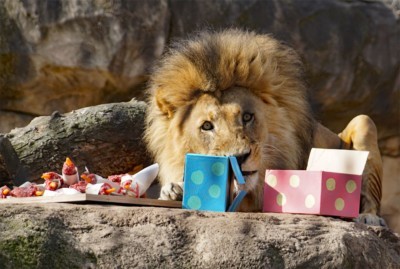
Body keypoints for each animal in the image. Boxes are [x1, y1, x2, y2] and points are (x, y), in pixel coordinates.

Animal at [144, 29, 384, 225]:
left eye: (247, 117)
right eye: (207, 126)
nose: (239, 158)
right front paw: (174, 190)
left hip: (364, 122)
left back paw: (369, 218)